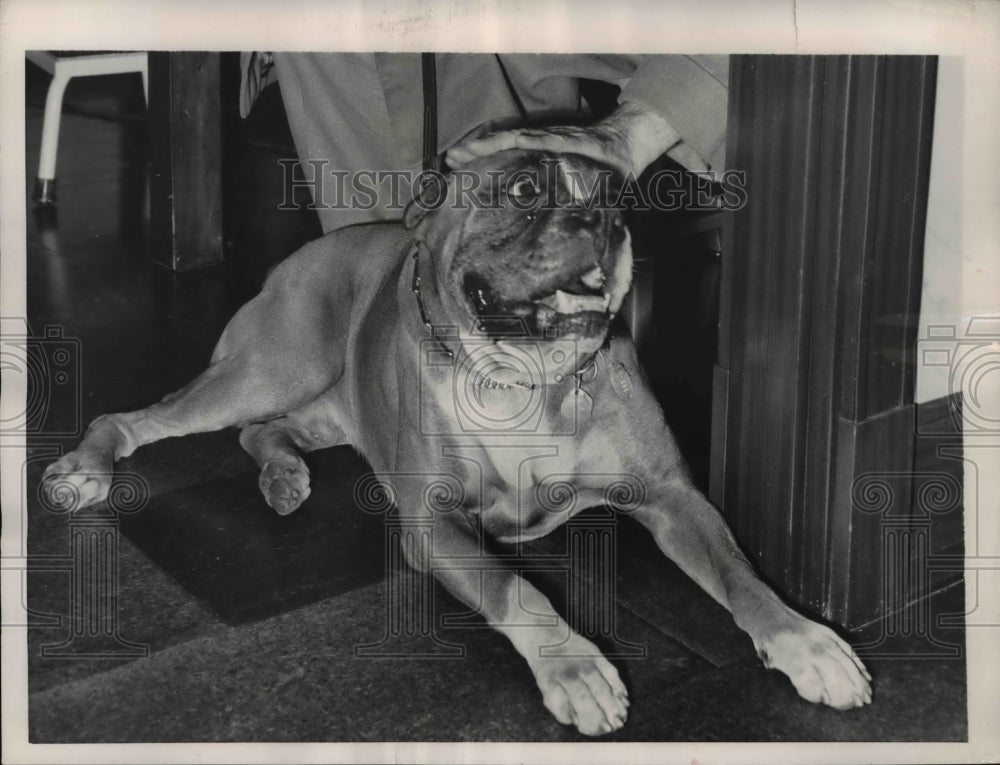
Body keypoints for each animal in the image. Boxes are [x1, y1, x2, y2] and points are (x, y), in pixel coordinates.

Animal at [43, 148, 872, 736]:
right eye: (525, 190)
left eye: (614, 198)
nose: (604, 224)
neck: (529, 378)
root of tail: (305, 253)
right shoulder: (435, 526)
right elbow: (519, 588)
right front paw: (574, 666)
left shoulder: (675, 498)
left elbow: (742, 575)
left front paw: (805, 640)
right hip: (270, 367)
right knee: (136, 418)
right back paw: (85, 470)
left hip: (319, 403)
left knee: (263, 431)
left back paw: (283, 477)